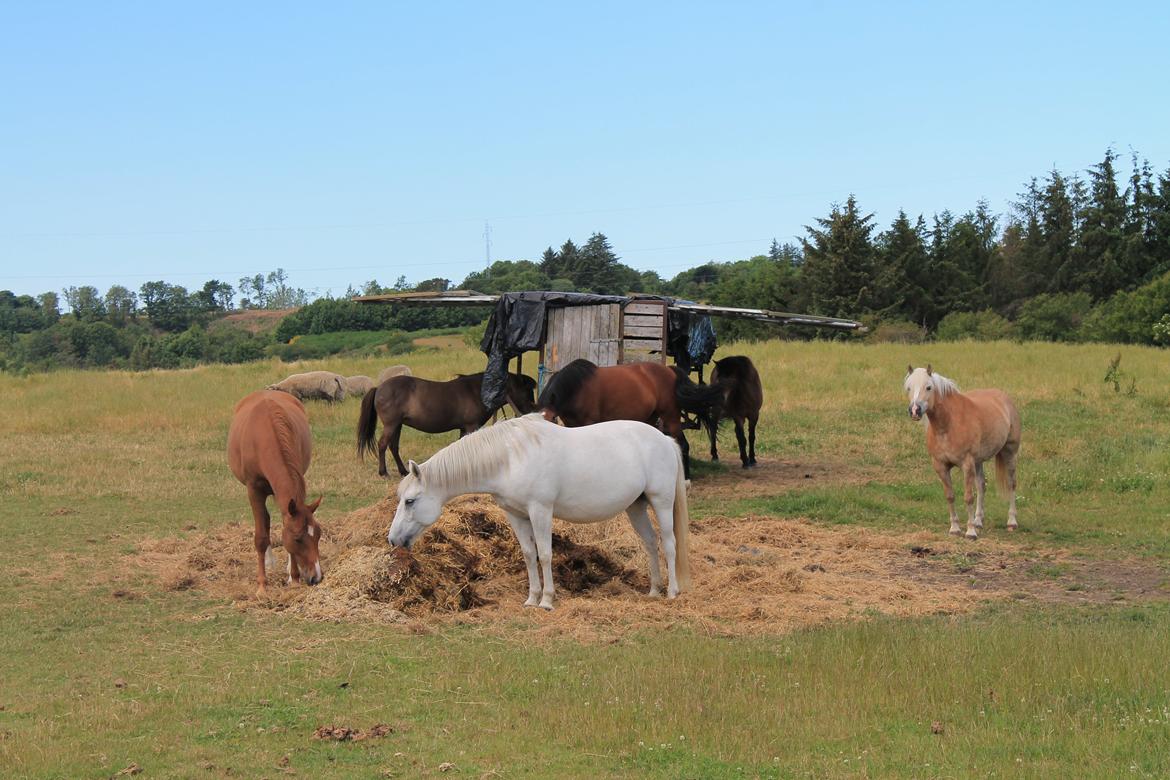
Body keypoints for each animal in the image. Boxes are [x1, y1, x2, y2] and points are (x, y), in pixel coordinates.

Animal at [226, 390, 325, 598]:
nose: (317, 577)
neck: (265, 435)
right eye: (298, 539)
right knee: (265, 520)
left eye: (318, 535)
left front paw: (293, 578)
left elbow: (284, 527)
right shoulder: (254, 490)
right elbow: (261, 537)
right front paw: (262, 585)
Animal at [355, 371, 538, 477]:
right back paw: (383, 472)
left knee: (393, 446)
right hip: (391, 425)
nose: (533, 411)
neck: (476, 391)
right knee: (383, 444)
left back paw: (403, 471)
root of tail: (379, 388)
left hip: (398, 425)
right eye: (527, 391)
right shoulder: (471, 426)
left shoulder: (464, 428)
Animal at [388, 413, 687, 608]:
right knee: (650, 542)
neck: (509, 459)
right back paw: (654, 590)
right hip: (636, 507)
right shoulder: (517, 515)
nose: (392, 540)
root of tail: (664, 439)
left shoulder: (540, 511)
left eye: (410, 501)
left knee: (669, 544)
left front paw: (547, 600)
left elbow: (544, 555)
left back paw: (672, 592)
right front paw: (532, 598)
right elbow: (529, 555)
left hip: (661, 502)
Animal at [538, 357, 720, 479]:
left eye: (552, 418)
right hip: (650, 420)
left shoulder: (589, 423)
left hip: (671, 418)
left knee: (683, 445)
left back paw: (686, 480)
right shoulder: (571, 426)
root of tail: (670, 371)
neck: (577, 388)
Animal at [903, 364, 1024, 537]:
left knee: (1011, 484)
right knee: (981, 485)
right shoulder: (941, 466)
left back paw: (1012, 521)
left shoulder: (967, 465)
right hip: (978, 461)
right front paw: (955, 528)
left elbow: (968, 497)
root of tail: (1004, 398)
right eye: (909, 387)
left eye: (929, 387)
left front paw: (970, 532)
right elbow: (950, 496)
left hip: (1010, 453)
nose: (914, 410)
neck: (948, 424)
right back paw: (979, 520)